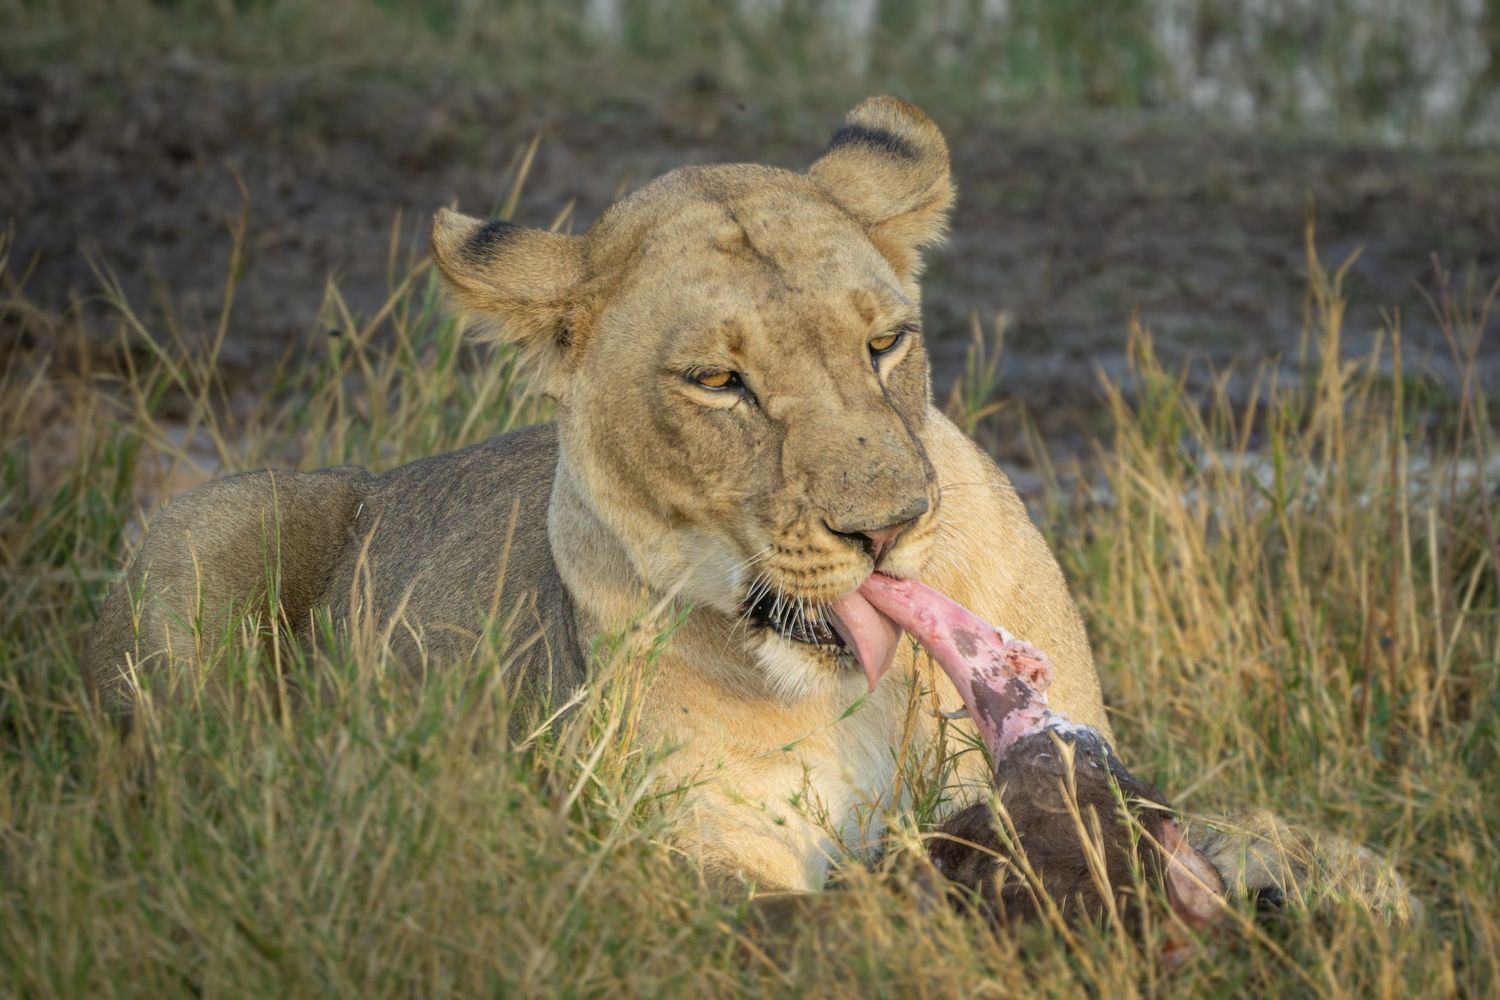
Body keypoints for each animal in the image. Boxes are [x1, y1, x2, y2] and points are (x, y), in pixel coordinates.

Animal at [86, 96, 1414, 920]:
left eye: (884, 343)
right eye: (720, 382)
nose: (887, 528)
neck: (851, 691)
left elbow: (1237, 821)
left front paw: (1339, 880)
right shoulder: (688, 848)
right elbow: (822, 917)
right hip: (206, 531)